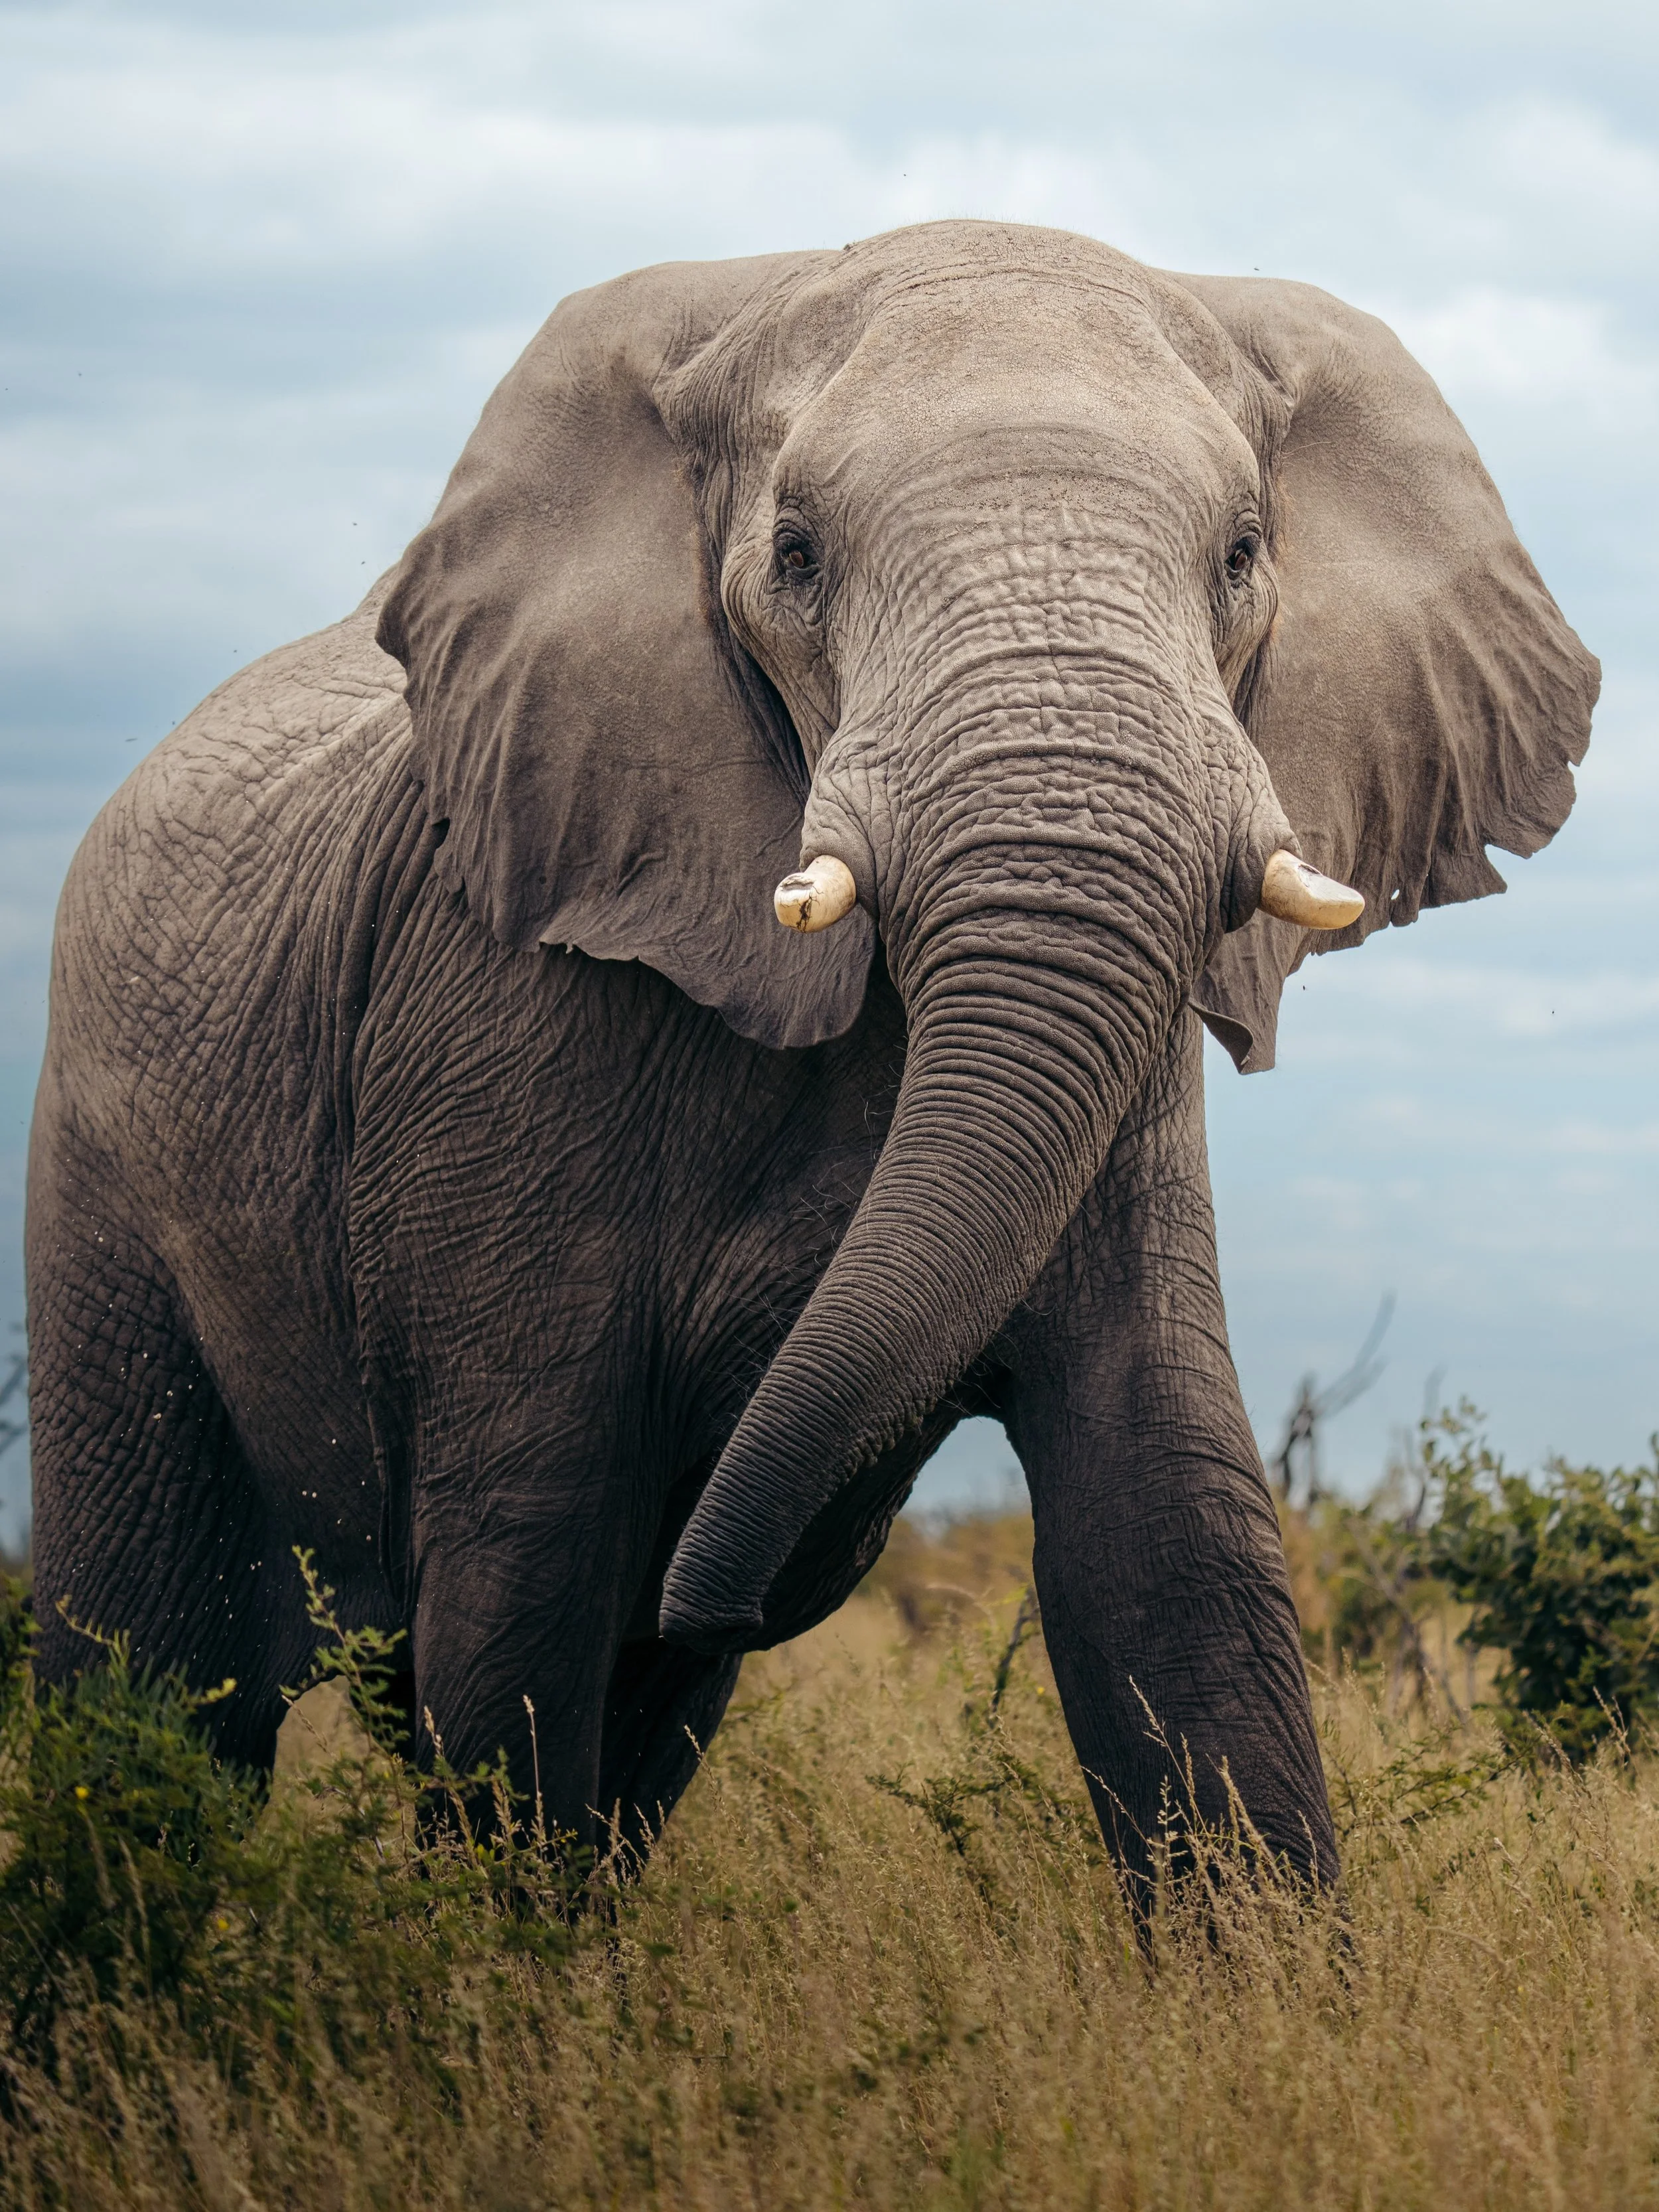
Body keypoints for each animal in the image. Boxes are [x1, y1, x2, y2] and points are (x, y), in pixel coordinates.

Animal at [26, 221, 1595, 1898]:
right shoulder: (493, 1008)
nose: (725, 1580)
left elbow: (1173, 1542)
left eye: (1241, 552)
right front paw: (494, 1963)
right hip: (99, 1177)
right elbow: (529, 1564)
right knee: (152, 1682)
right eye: (794, 555)